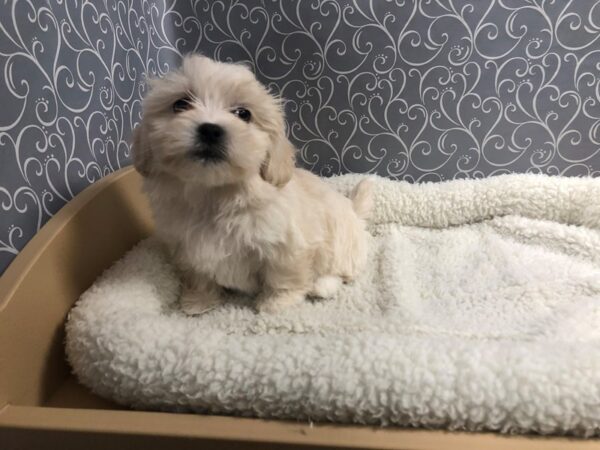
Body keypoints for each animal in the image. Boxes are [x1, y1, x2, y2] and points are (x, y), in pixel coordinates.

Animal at [134, 55, 372, 312]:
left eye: (243, 113)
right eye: (180, 104)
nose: (210, 130)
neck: (215, 195)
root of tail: (354, 212)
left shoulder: (286, 246)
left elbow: (283, 275)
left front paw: (276, 303)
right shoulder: (186, 249)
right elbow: (199, 276)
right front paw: (198, 302)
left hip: (342, 240)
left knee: (343, 269)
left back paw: (322, 285)